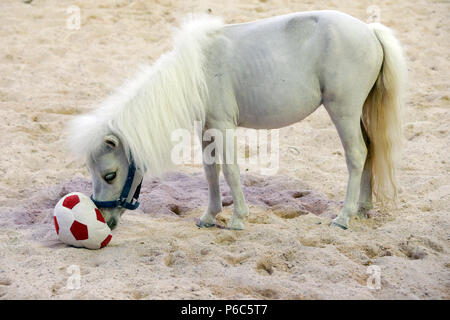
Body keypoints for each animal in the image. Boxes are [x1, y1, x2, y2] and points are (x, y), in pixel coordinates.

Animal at [68, 10, 406, 230]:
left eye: (110, 175)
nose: (105, 221)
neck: (195, 73)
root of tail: (370, 31)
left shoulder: (223, 126)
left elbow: (230, 170)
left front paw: (237, 218)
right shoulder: (207, 130)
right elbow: (210, 171)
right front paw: (209, 216)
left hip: (343, 111)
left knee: (357, 155)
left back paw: (344, 217)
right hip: (357, 113)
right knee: (370, 152)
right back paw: (363, 208)